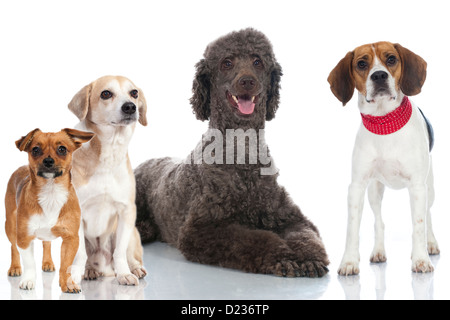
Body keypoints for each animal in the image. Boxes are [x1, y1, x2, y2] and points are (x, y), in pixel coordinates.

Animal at [4, 127, 94, 292]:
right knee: (13, 247)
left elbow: (65, 265)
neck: (51, 194)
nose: (48, 161)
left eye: (62, 149)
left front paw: (67, 283)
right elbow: (29, 263)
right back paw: (15, 267)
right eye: (35, 150)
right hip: (10, 226)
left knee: (46, 243)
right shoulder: (24, 238)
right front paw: (28, 280)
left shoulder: (71, 238)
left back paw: (47, 263)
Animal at [69, 75, 148, 284]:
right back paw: (88, 271)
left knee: (130, 256)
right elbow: (80, 254)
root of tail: (105, 268)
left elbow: (119, 252)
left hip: (132, 233)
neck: (109, 151)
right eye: (106, 94)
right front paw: (74, 277)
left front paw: (125, 274)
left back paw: (135, 269)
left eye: (134, 93)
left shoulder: (127, 211)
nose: (130, 107)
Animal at [326, 42, 440, 276]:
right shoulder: (357, 187)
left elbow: (419, 225)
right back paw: (378, 251)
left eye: (391, 59)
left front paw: (421, 259)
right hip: (374, 191)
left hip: (429, 189)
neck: (385, 123)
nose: (379, 75)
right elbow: (352, 228)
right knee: (379, 222)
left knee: (428, 216)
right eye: (361, 63)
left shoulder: (417, 187)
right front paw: (349, 261)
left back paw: (431, 244)